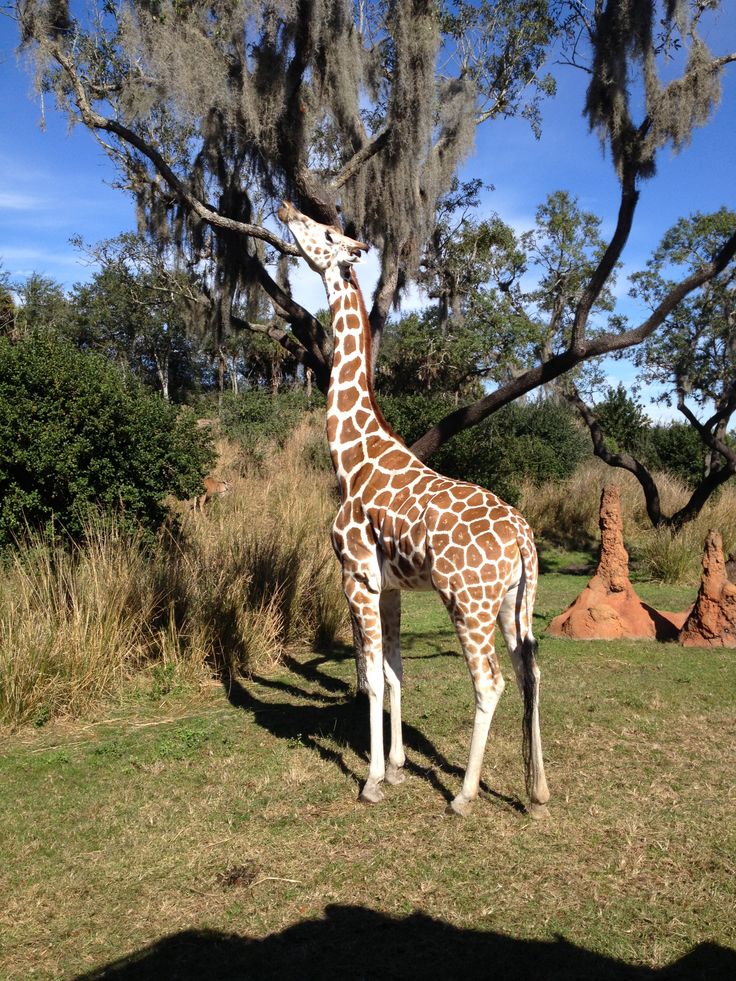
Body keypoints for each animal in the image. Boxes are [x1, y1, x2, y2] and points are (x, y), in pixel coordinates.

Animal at [278, 201, 548, 820]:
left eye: (323, 233)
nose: (283, 208)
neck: (349, 458)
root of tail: (525, 537)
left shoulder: (356, 577)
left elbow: (374, 678)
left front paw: (373, 780)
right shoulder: (392, 586)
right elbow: (397, 674)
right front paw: (399, 765)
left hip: (467, 603)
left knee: (491, 682)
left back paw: (465, 796)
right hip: (513, 604)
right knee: (532, 672)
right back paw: (538, 791)